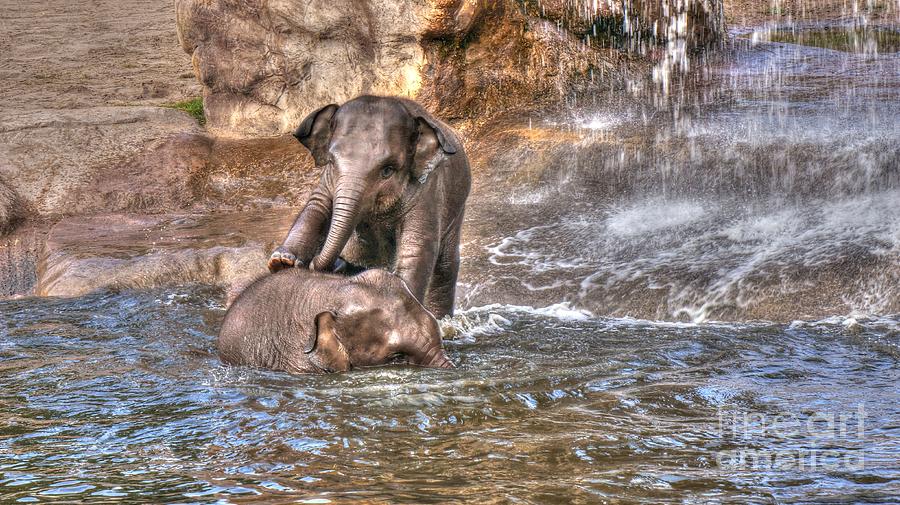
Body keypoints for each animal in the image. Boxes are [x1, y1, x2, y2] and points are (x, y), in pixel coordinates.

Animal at [268, 93, 472, 318]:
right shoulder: (328, 179)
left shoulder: (429, 187)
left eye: (387, 170)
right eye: (331, 161)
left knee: (445, 267)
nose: (315, 263)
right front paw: (282, 261)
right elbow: (316, 208)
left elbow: (417, 244)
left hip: (456, 209)